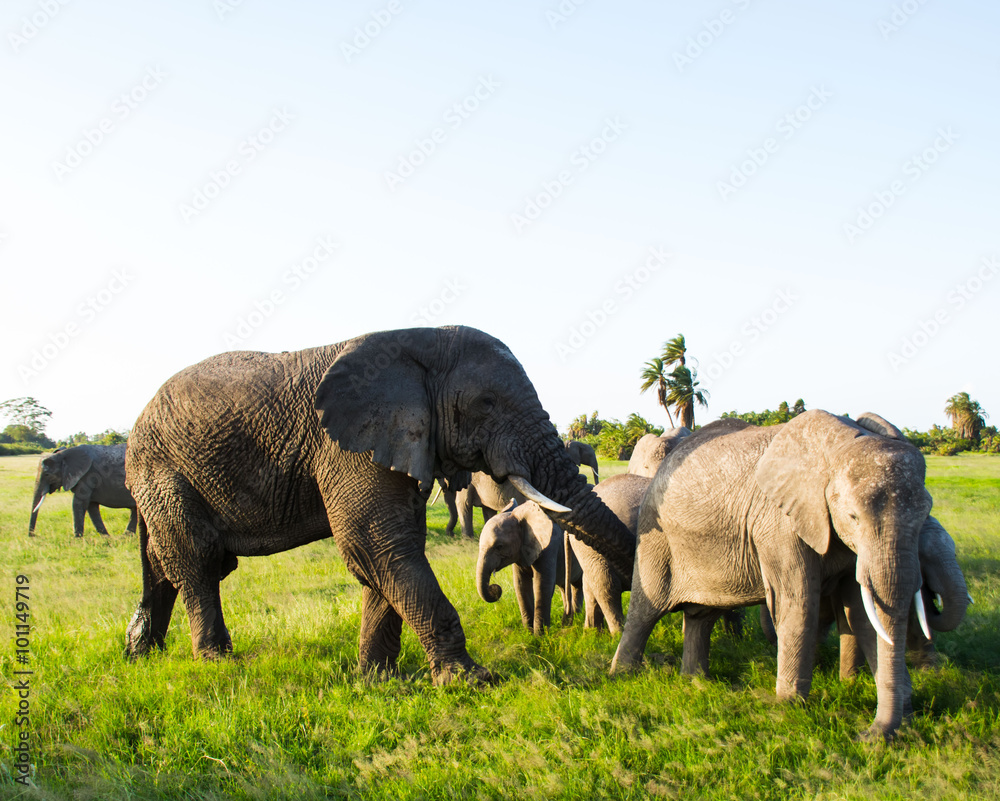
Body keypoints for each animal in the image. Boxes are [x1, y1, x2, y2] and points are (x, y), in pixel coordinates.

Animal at [476, 499, 582, 635]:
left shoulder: (549, 547)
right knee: (566, 587)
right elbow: (521, 584)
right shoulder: (519, 553)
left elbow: (542, 584)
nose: (495, 588)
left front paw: (540, 635)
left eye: (499, 546)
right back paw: (570, 622)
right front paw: (528, 633)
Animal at [611, 410, 932, 739]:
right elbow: (798, 604)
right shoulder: (779, 524)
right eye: (853, 516)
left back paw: (696, 681)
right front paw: (791, 708)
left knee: (702, 616)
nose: (869, 735)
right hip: (657, 539)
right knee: (645, 611)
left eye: (925, 515)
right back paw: (623, 675)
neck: (840, 444)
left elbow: (861, 614)